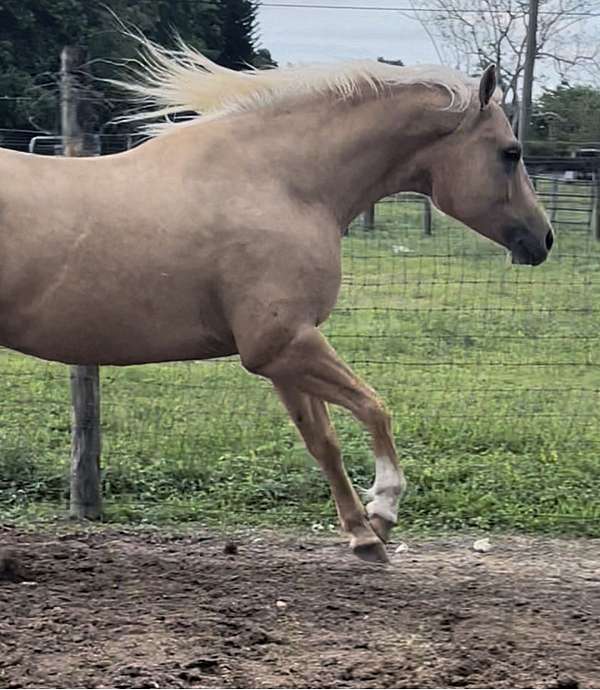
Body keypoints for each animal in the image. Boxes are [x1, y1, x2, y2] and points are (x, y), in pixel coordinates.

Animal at [0, 39, 554, 562]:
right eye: (511, 152)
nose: (543, 239)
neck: (282, 183)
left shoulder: (286, 355)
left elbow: (324, 442)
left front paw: (363, 535)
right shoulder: (283, 345)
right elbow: (374, 407)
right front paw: (384, 510)